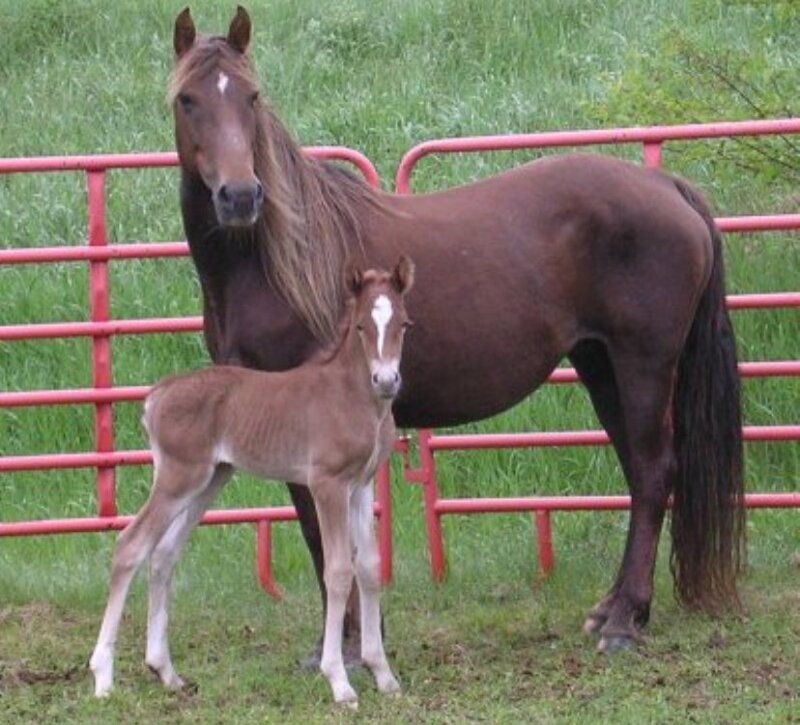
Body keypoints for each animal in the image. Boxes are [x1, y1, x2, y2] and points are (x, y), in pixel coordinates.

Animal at [90, 258, 414, 706]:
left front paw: (383, 675)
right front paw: (339, 681)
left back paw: (166, 672)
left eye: (404, 323)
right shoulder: (327, 485)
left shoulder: (361, 486)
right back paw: (103, 676)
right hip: (179, 476)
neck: (352, 397)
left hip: (210, 478)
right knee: (131, 545)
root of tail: (155, 396)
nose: (386, 380)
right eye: (363, 326)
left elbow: (368, 566)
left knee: (165, 553)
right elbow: (337, 570)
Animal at [168, 6, 745, 657]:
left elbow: (325, 531)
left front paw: (348, 643)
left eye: (252, 96)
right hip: (602, 366)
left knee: (652, 473)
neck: (272, 261)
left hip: (643, 364)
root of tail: (668, 188)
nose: (240, 197)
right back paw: (614, 608)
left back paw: (624, 622)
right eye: (187, 99)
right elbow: (316, 530)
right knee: (638, 472)